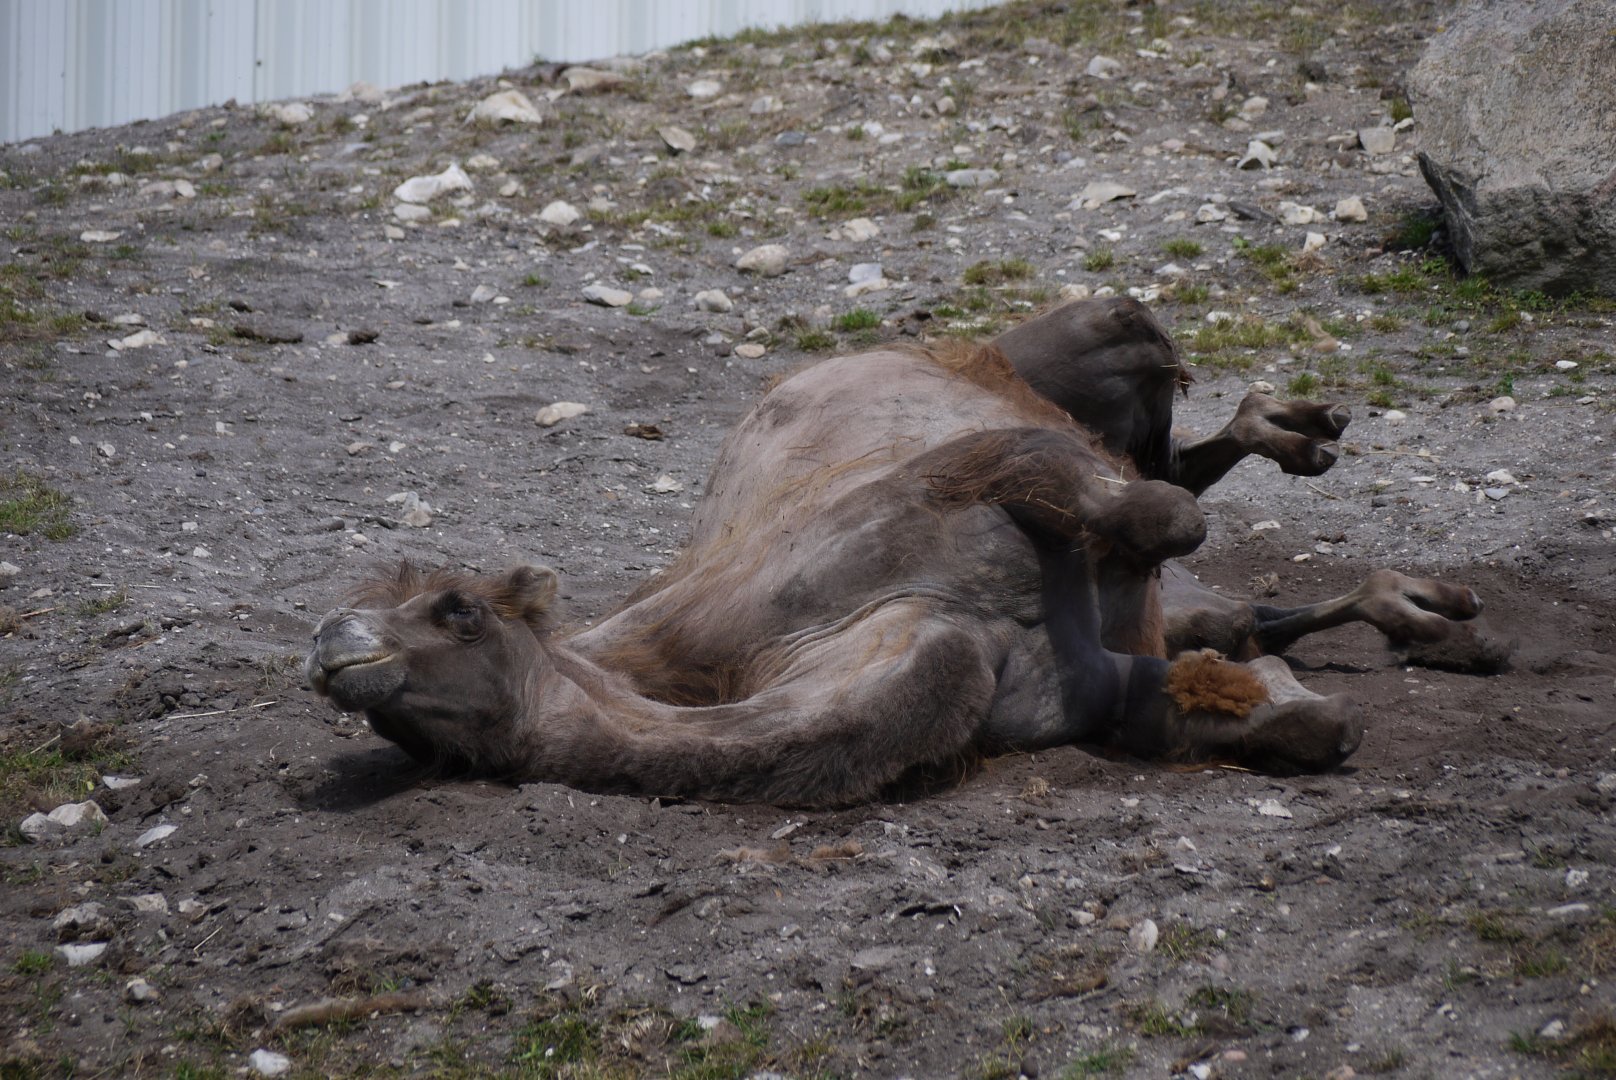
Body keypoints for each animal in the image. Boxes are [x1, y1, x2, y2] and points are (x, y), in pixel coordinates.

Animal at [305, 298, 1483, 807]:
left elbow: (1153, 517)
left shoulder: (968, 475)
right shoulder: (1090, 685)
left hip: (1078, 344)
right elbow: (1271, 709)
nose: (331, 638)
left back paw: (1312, 442)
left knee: (1150, 397)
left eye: (453, 605)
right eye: (418, 747)